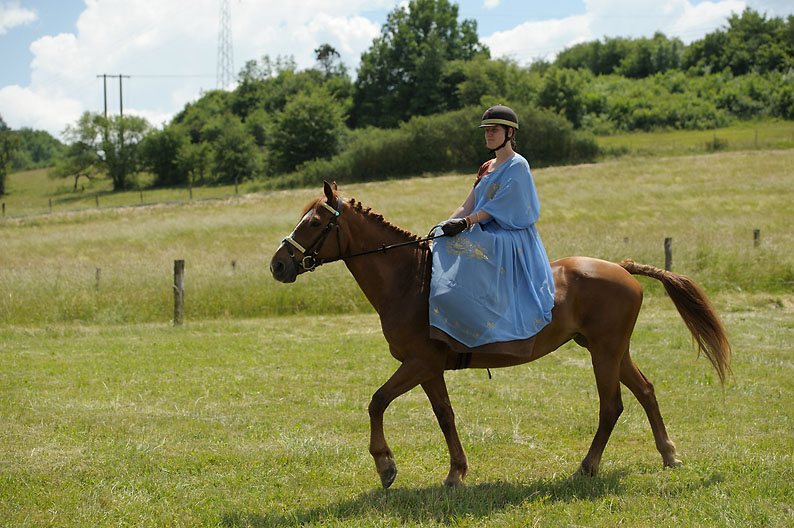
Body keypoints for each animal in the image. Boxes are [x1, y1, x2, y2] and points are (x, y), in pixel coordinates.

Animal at [272, 180, 732, 486]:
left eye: (314, 222)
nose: (278, 265)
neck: (409, 280)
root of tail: (621, 267)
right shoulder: (429, 369)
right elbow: (444, 416)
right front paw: (455, 473)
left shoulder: (418, 363)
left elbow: (377, 402)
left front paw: (386, 465)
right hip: (612, 350)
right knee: (646, 391)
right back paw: (668, 455)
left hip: (604, 352)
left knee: (612, 406)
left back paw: (588, 466)